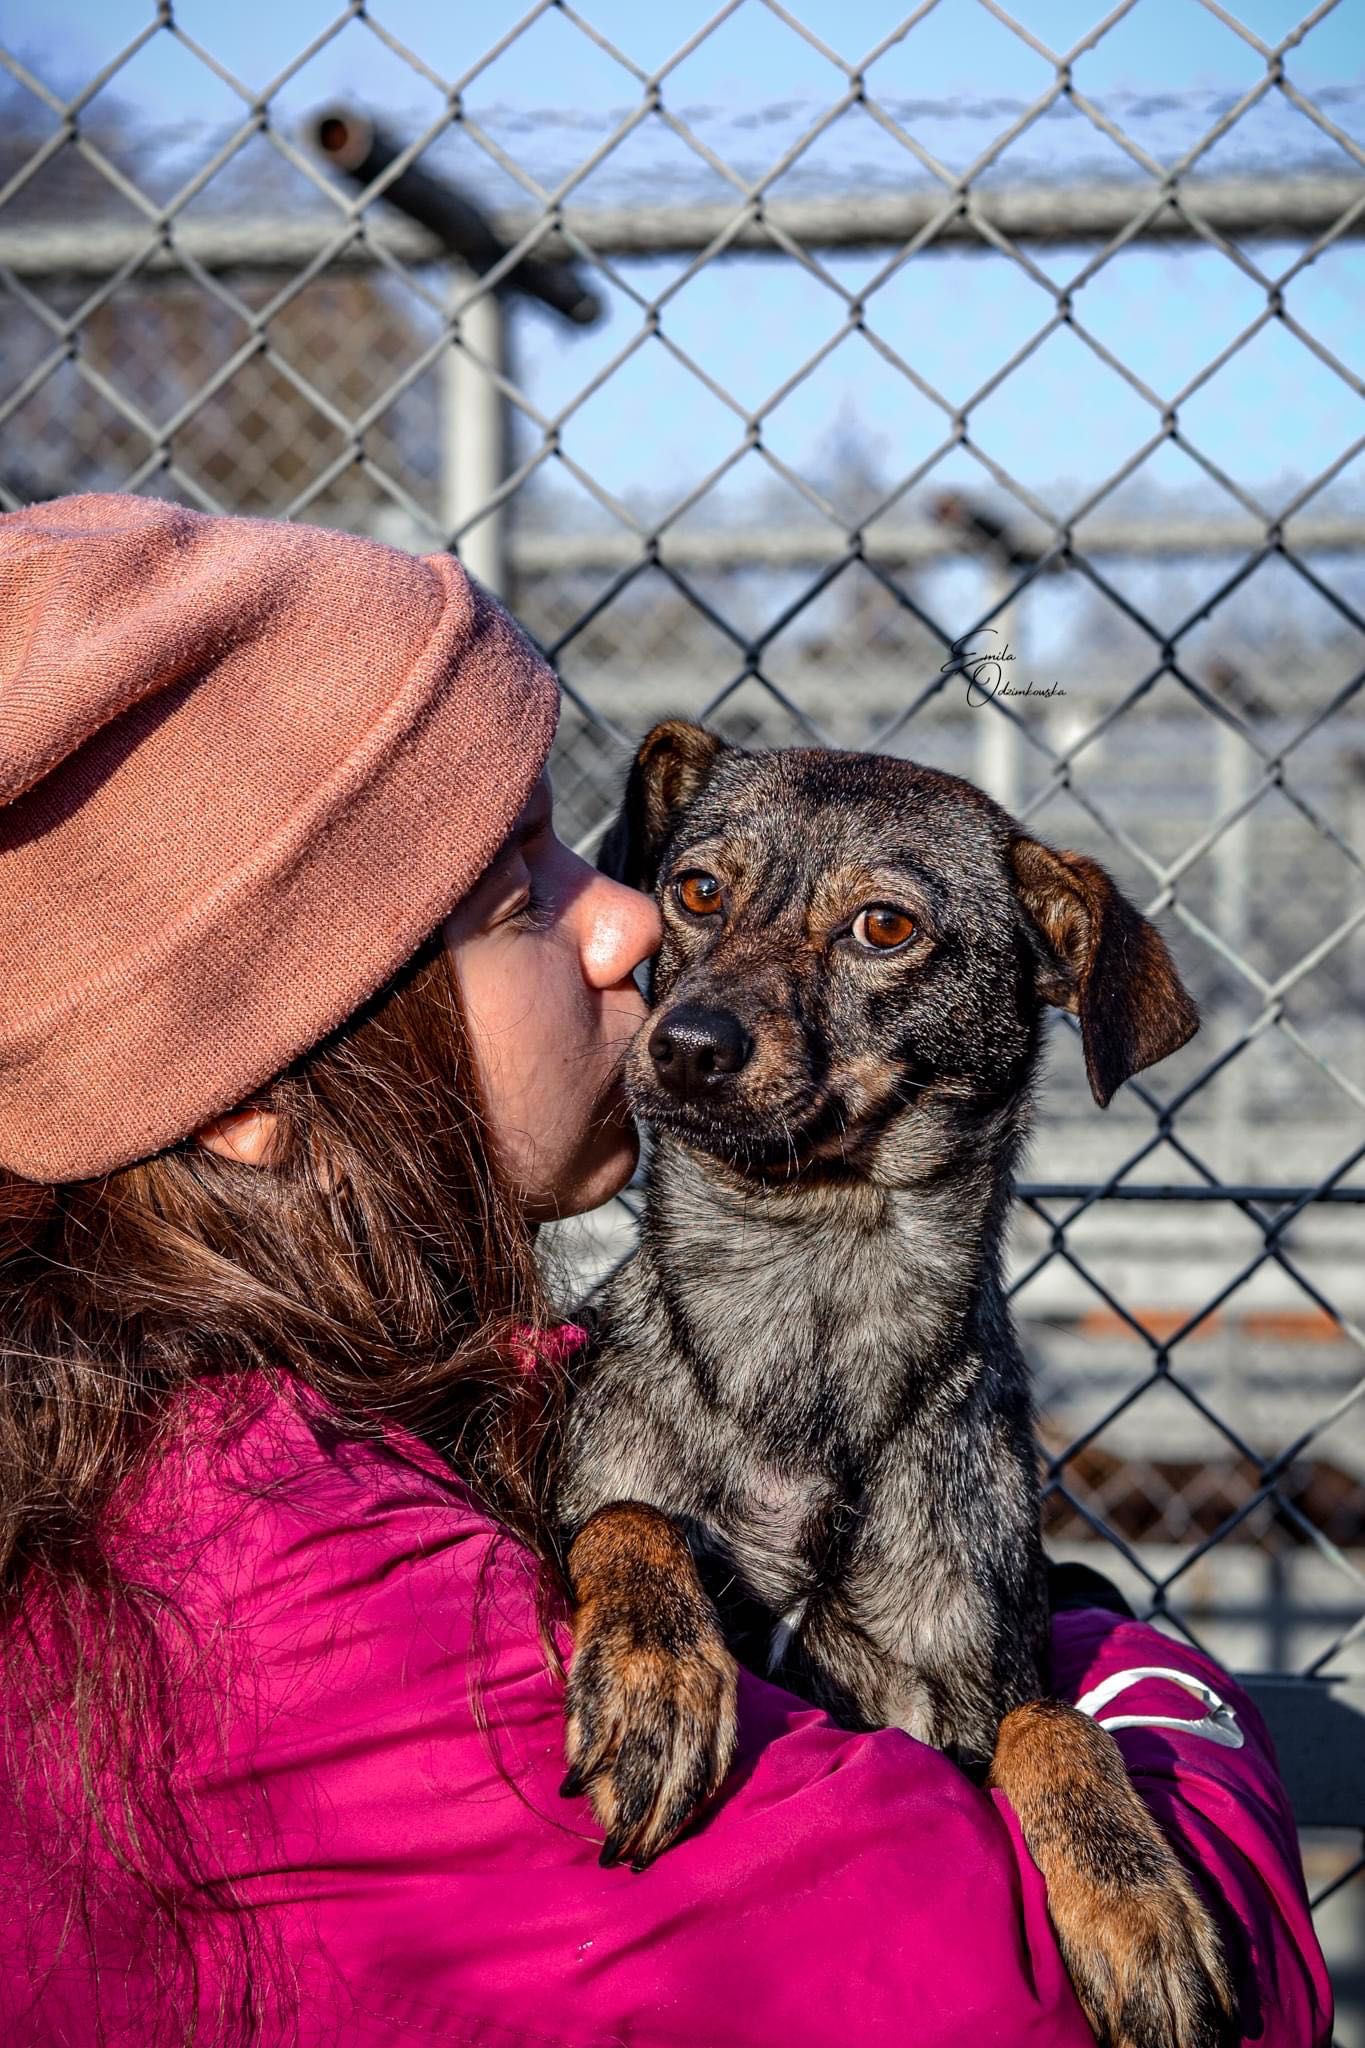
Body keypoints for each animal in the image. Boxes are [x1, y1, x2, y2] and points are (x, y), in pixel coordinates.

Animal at [556, 720, 1236, 2048]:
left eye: (883, 926)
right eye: (695, 891)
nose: (687, 1045)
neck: (810, 1285)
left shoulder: (963, 1691)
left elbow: (1053, 1718)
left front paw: (1139, 1903)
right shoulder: (599, 1500)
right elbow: (628, 1514)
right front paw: (657, 1677)